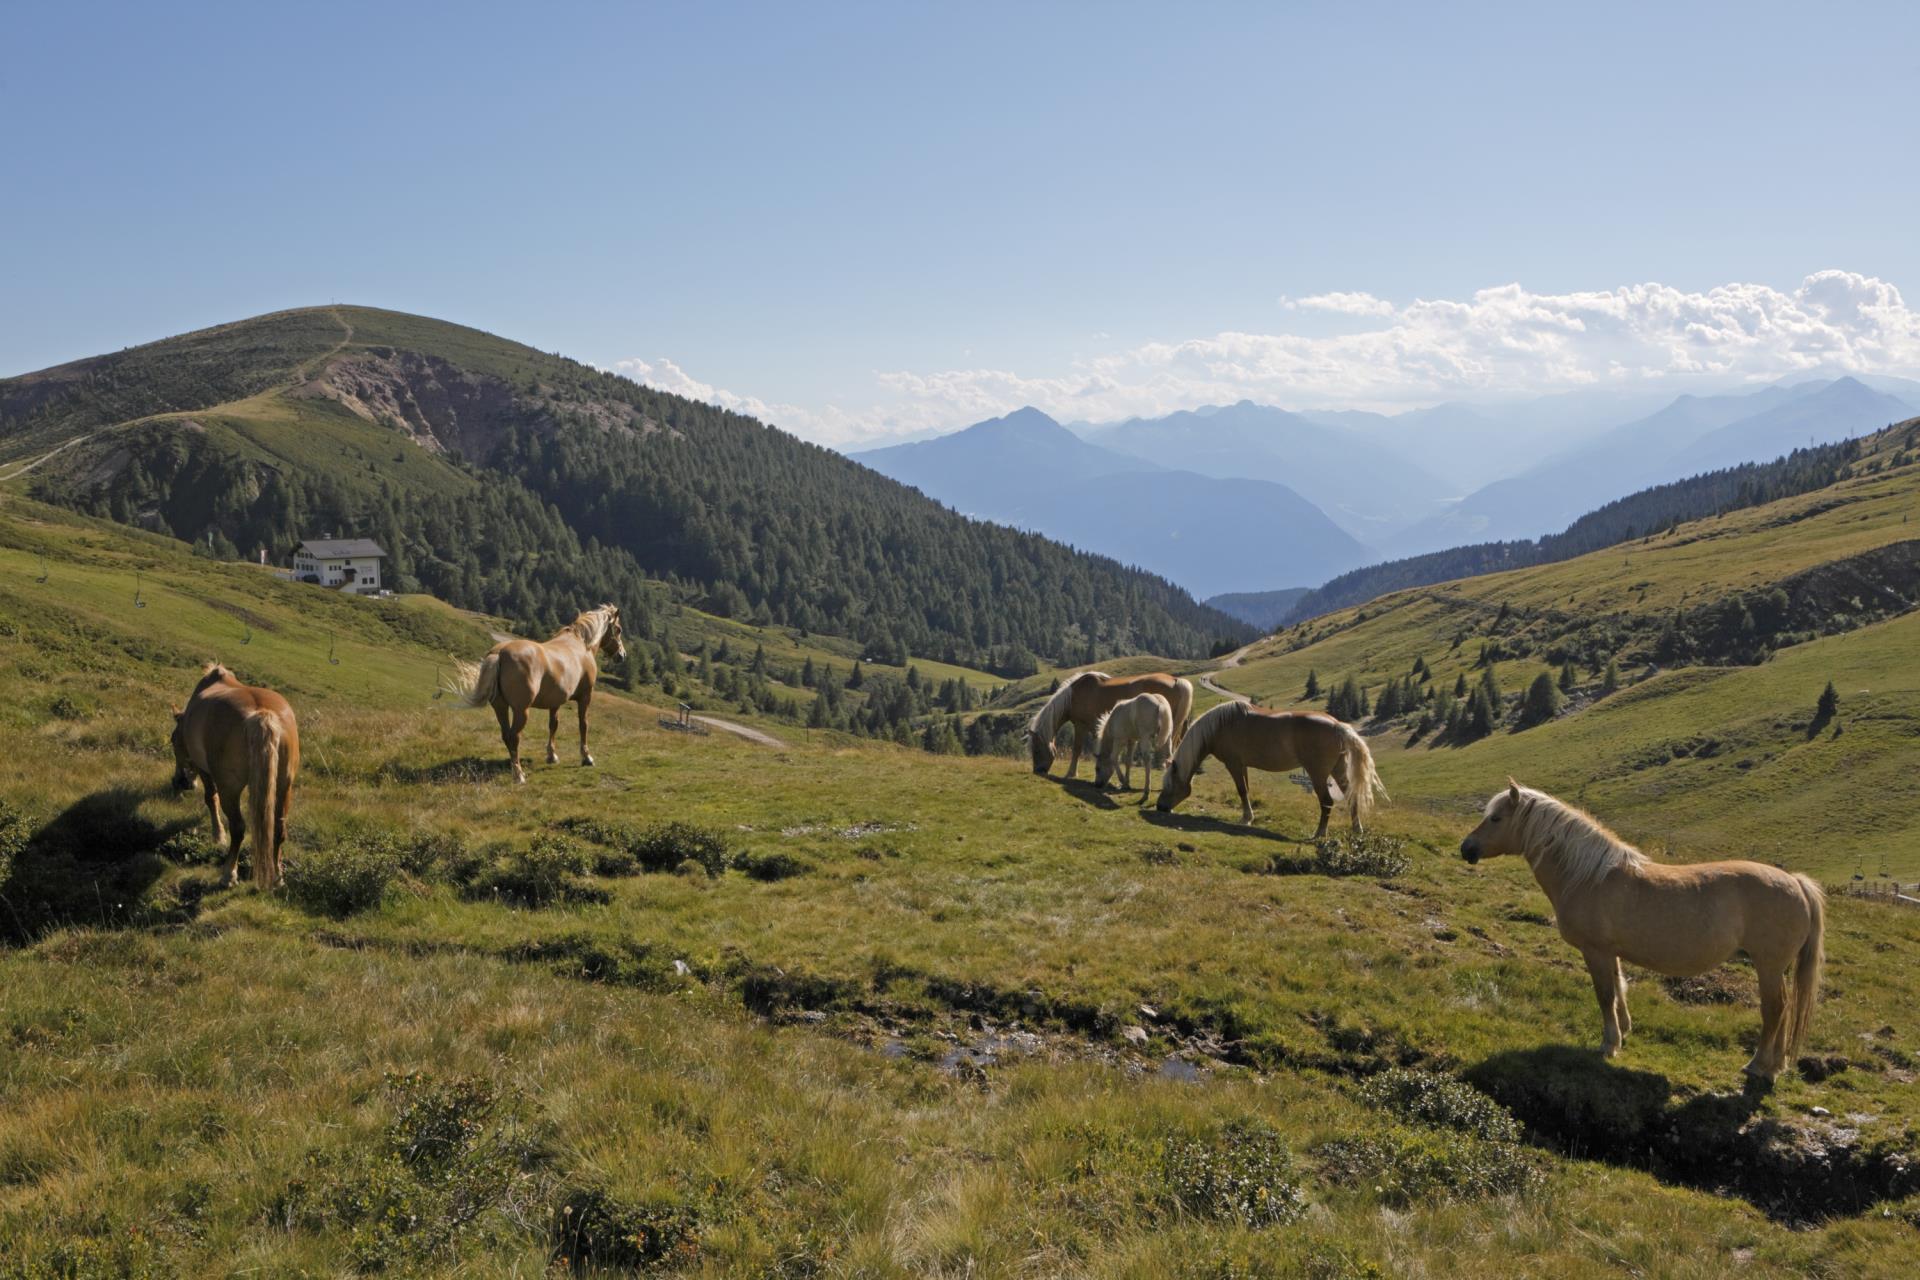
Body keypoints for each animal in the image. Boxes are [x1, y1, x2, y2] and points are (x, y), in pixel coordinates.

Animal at [171, 667, 299, 886]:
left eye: (172, 741)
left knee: (238, 828)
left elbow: (210, 798)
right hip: (284, 787)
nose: (179, 782)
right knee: (279, 830)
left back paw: (229, 873)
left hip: (230, 789)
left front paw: (218, 835)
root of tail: (262, 715)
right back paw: (277, 877)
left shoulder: (205, 771)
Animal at [443, 610, 625, 786]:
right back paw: (519, 775)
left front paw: (552, 756)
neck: (580, 644)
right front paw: (586, 757)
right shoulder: (585, 696)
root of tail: (499, 653)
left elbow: (553, 726)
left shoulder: (555, 702)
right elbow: (583, 725)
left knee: (506, 735)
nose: (622, 655)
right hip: (521, 711)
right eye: (618, 629)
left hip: (500, 708)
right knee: (514, 737)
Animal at [1029, 671, 1190, 782]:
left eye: (1036, 750)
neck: (1074, 694)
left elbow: (1077, 750)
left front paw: (1071, 774)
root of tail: (1176, 680)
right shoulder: (1098, 729)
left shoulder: (1080, 726)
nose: (1038, 770)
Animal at [1152, 702, 1382, 840]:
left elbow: (1241, 790)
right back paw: (1357, 830)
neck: (1220, 725)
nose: (1160, 807)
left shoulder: (1234, 764)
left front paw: (1246, 819)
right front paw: (1248, 817)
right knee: (1352, 797)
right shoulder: (1242, 765)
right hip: (1338, 770)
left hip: (1318, 775)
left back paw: (1319, 833)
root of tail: (1337, 726)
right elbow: (1246, 791)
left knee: (1327, 802)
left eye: (1169, 784)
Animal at [1466, 782, 1827, 1082]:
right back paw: (1775, 1067)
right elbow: (1619, 988)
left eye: (1496, 818)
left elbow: (1605, 994)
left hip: (1768, 966)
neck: (1588, 877)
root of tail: (1795, 882)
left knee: (1775, 1010)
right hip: (1777, 968)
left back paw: (1758, 1066)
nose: (1465, 849)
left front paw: (1608, 1044)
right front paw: (1624, 1031)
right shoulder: (1609, 952)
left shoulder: (1595, 951)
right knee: (1785, 1011)